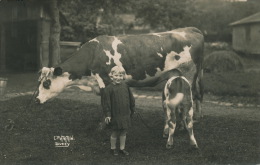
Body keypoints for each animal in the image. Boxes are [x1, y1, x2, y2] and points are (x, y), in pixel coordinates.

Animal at [35, 27, 204, 118]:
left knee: (192, 97)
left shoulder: (105, 81)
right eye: (39, 81)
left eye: (47, 83)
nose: (35, 100)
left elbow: (106, 105)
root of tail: (190, 29)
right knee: (196, 97)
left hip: (190, 74)